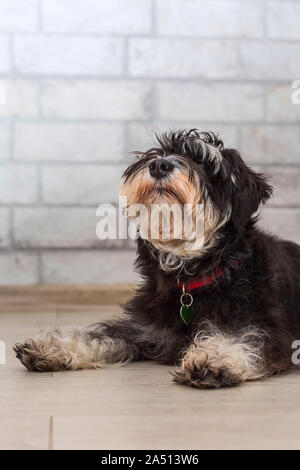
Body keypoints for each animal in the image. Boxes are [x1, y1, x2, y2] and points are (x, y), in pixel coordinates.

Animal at [13, 129, 300, 390]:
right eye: (157, 153)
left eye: (205, 163)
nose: (159, 165)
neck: (190, 277)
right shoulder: (141, 328)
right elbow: (98, 336)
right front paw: (50, 347)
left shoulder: (269, 329)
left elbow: (247, 338)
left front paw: (215, 359)